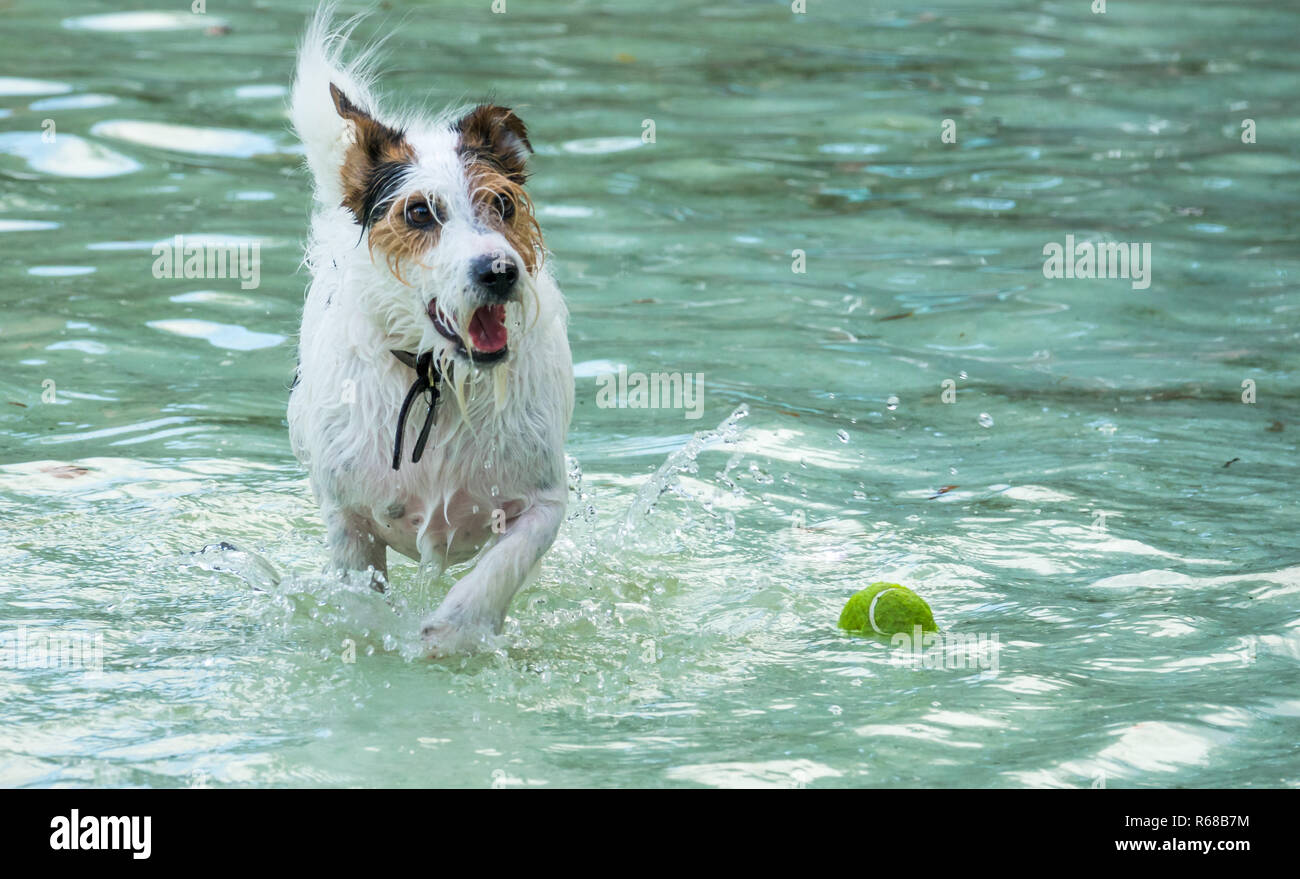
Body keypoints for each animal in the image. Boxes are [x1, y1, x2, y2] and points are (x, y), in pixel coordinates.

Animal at [289, 5, 574, 652]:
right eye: (419, 212)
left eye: (504, 205)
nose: (499, 271)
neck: (440, 382)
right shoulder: (348, 520)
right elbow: (361, 593)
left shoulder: (544, 502)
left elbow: (504, 565)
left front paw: (455, 630)